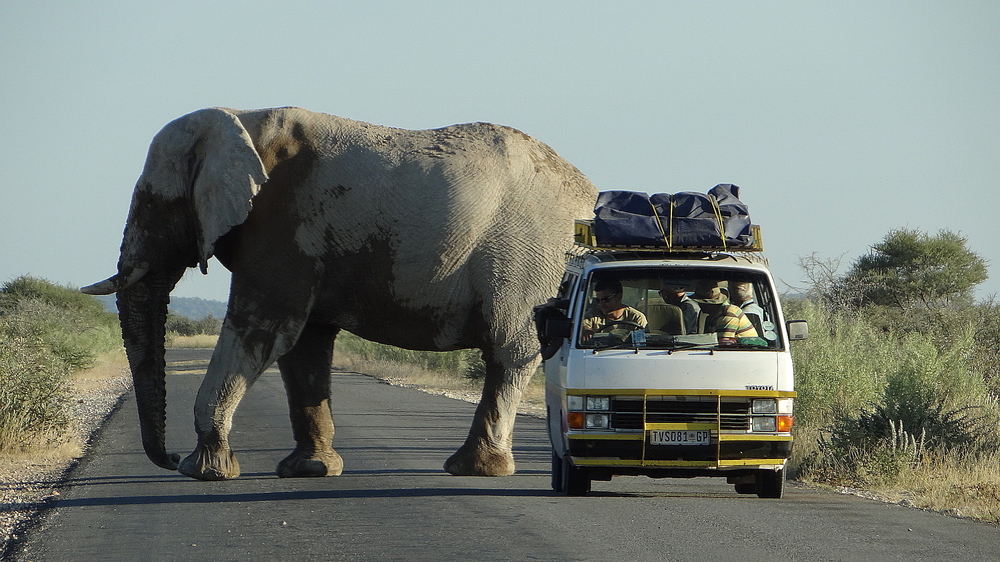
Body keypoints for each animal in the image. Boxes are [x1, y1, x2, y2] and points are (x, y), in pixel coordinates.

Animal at [84, 106, 592, 482]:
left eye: (154, 202)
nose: (167, 459)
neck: (241, 121)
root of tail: (588, 191)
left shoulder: (281, 223)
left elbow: (263, 330)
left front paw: (204, 471)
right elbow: (303, 345)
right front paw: (308, 471)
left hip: (530, 259)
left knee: (509, 352)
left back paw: (476, 471)